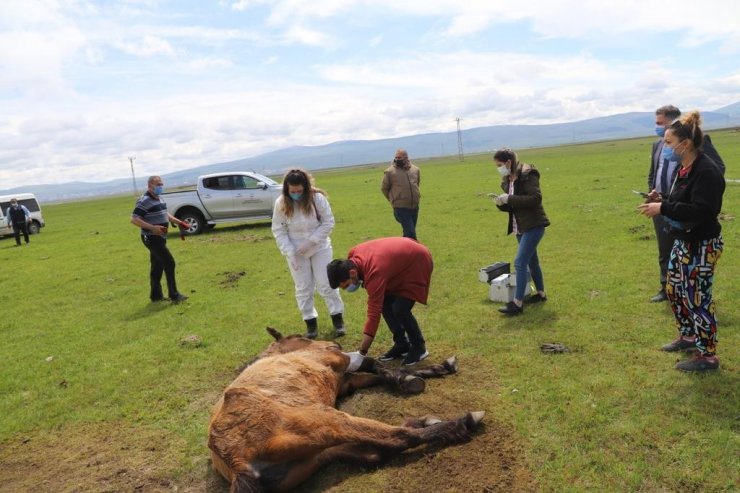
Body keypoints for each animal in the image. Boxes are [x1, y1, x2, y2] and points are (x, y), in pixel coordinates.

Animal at [208, 326, 486, 492]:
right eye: (301, 337)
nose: (333, 344)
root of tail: (235, 462)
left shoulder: (343, 382)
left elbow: (374, 372)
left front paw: (430, 371)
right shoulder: (336, 361)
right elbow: (372, 363)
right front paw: (410, 379)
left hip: (315, 456)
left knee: (374, 452)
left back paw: (426, 422)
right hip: (325, 420)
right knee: (397, 438)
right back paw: (461, 422)